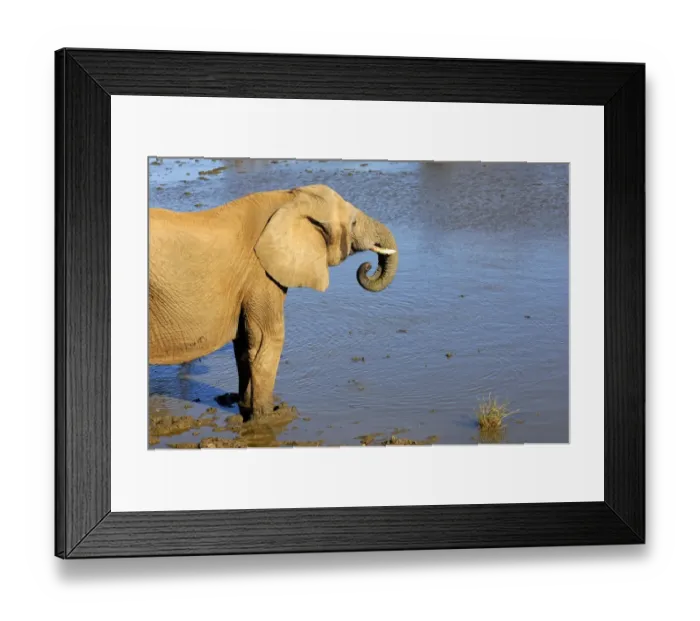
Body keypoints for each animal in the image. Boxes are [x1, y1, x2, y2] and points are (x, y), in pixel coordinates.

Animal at [149, 183, 398, 419]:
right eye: (353, 223)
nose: (367, 266)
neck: (287, 198)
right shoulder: (260, 272)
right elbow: (268, 337)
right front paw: (272, 416)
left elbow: (245, 344)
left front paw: (244, 406)